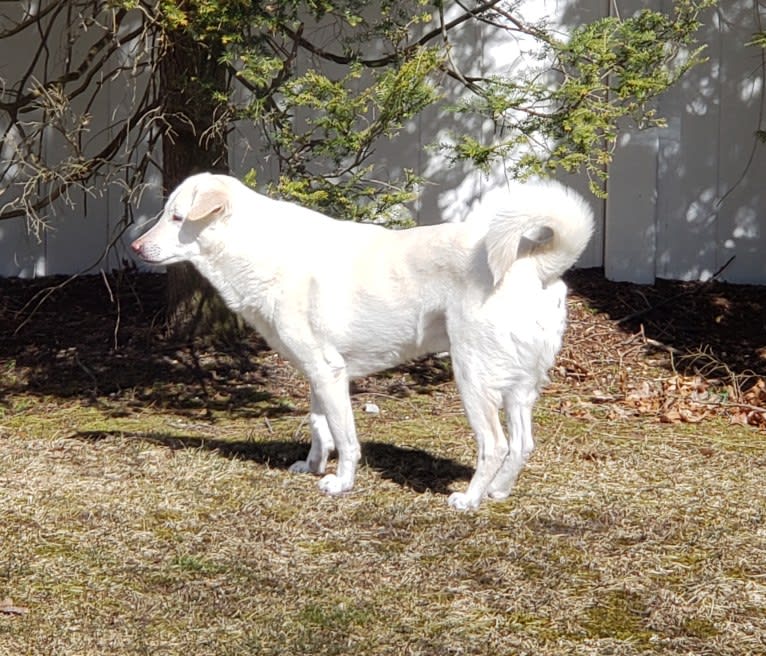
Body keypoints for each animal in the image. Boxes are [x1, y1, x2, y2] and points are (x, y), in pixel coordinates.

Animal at [132, 172, 592, 510]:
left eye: (177, 218)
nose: (135, 247)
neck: (257, 248)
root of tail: (535, 265)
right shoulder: (318, 374)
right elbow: (319, 427)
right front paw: (313, 467)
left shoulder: (329, 373)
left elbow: (345, 438)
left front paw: (340, 483)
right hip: (518, 388)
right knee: (523, 443)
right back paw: (498, 492)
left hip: (473, 378)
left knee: (495, 445)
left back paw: (470, 499)